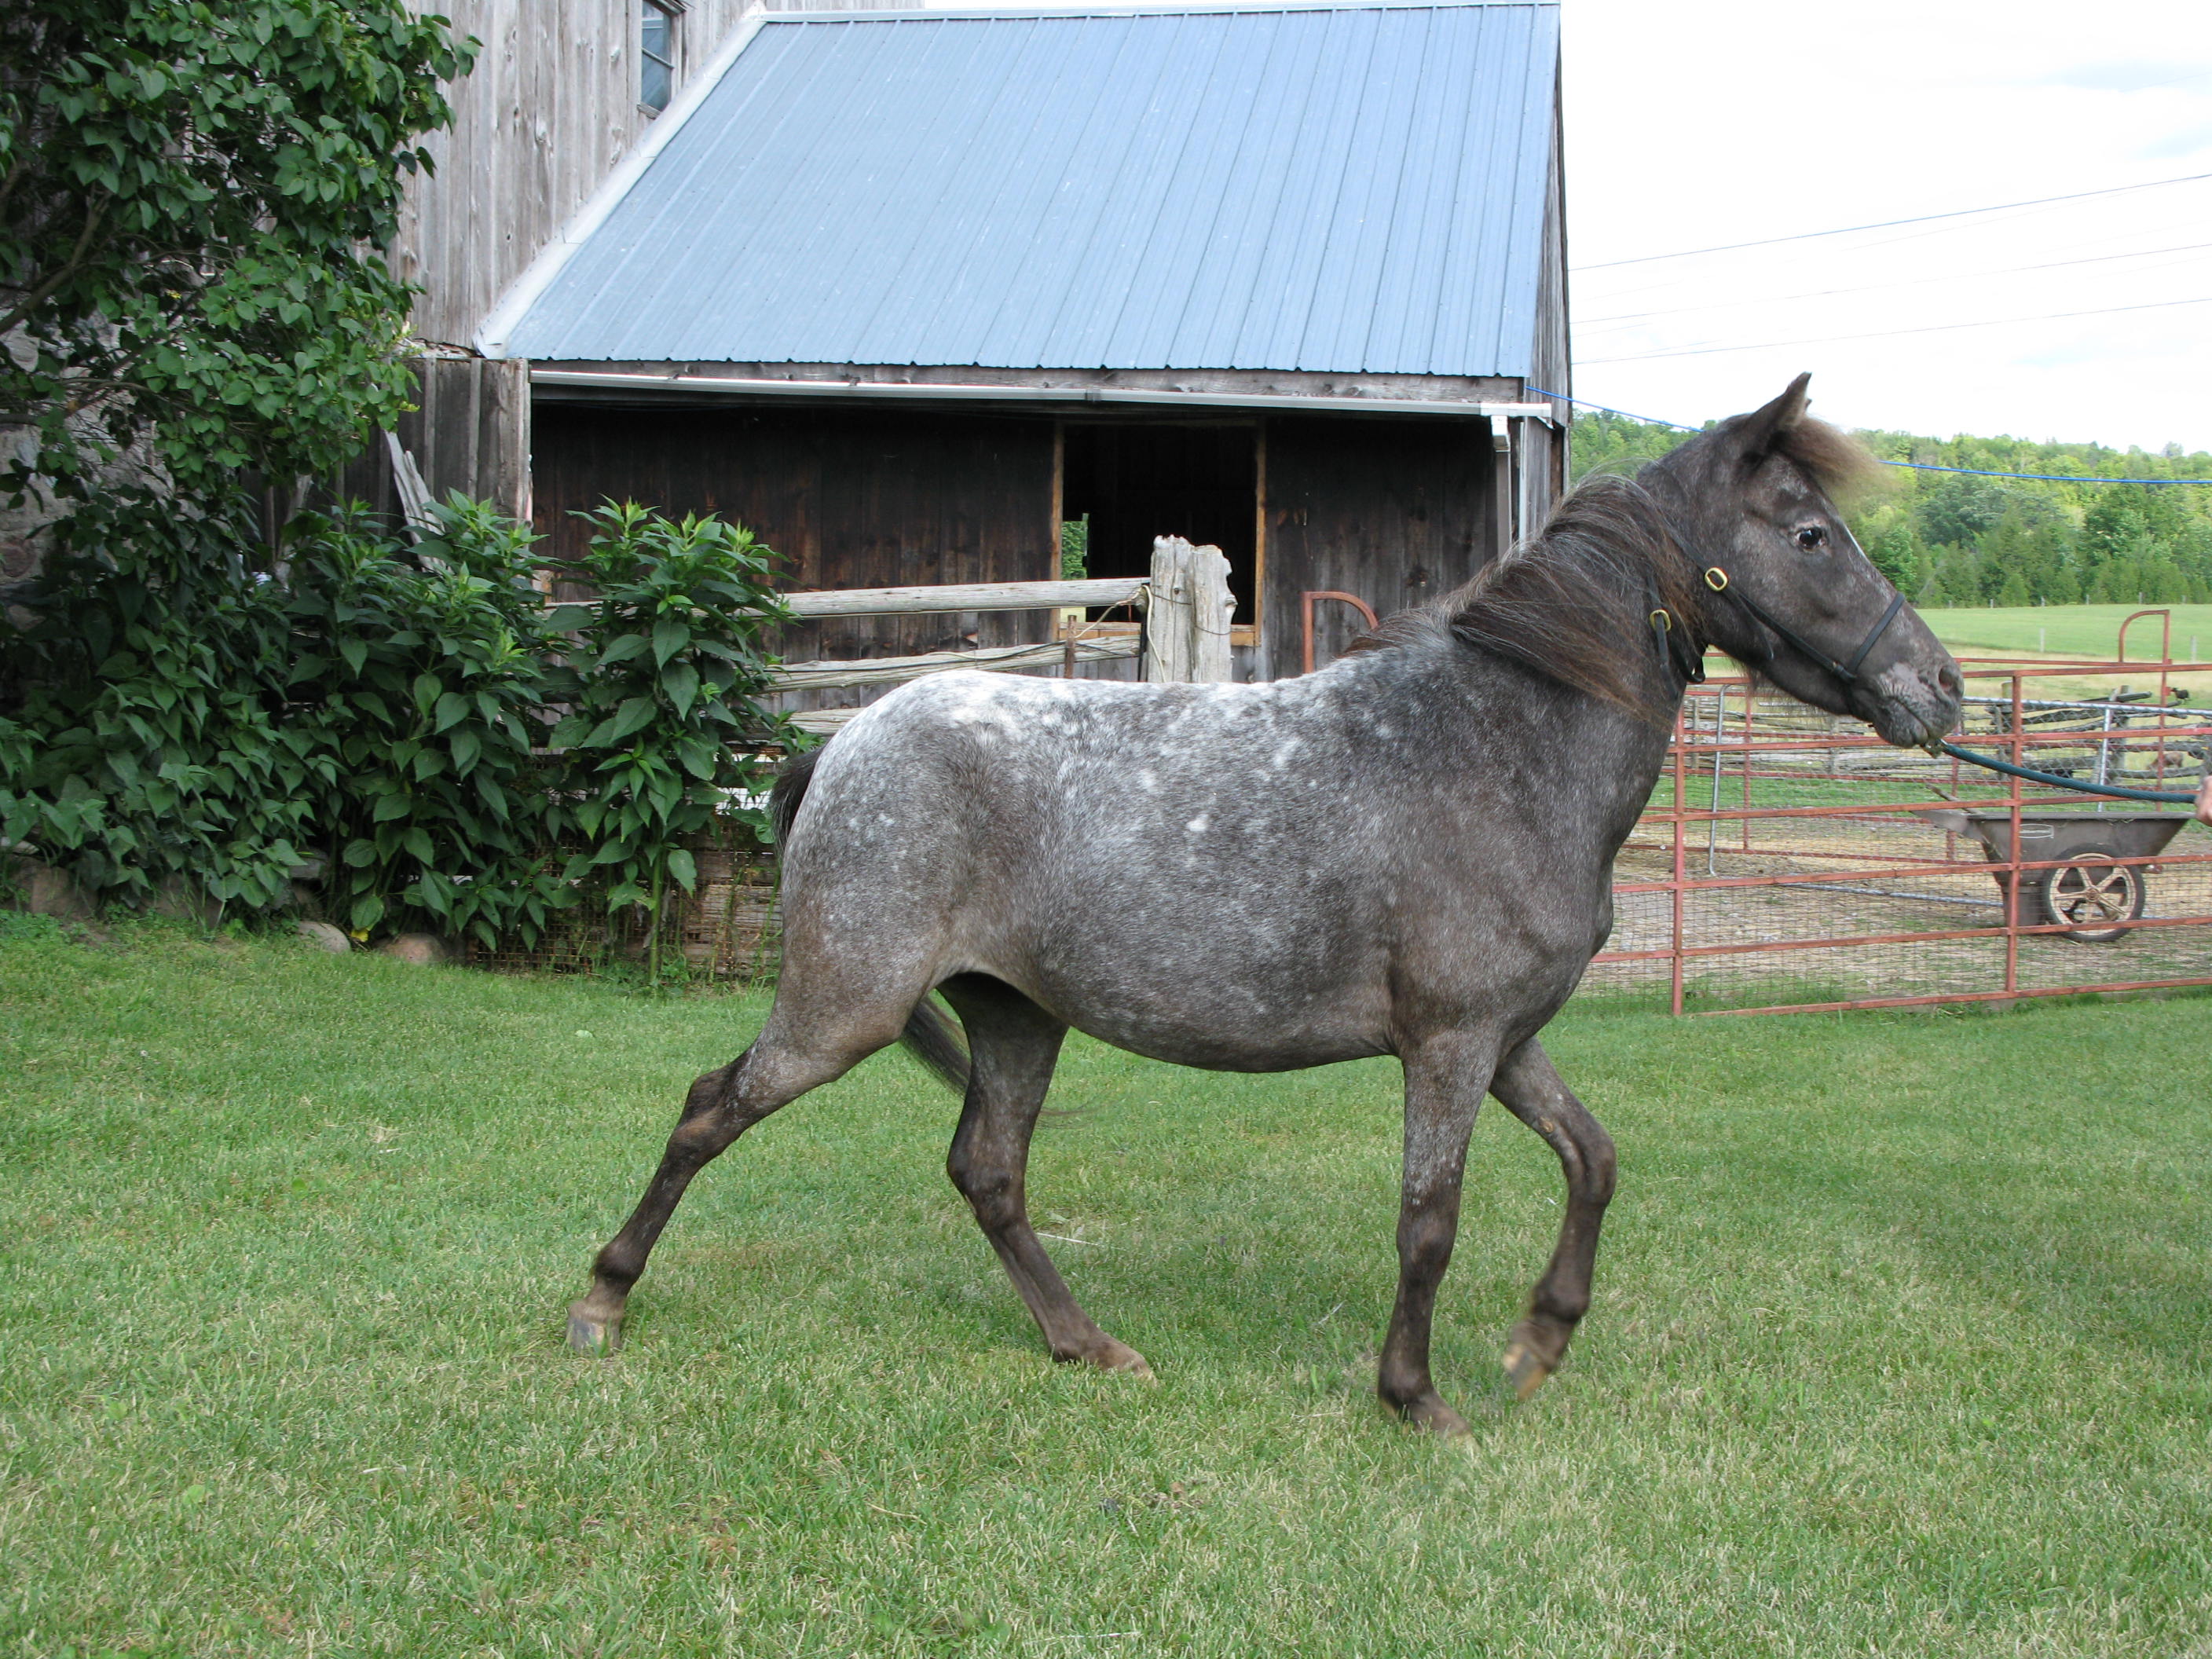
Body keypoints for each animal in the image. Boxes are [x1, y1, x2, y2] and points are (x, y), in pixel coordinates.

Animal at [566, 373, 1955, 1433]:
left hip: (1014, 1014)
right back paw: (601, 1303)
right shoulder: (1451, 1046)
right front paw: (1417, 1400)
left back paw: (1089, 1346)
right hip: (843, 1008)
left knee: (988, 1173)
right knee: (709, 1109)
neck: (1497, 743)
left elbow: (1595, 1159)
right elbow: (1430, 1221)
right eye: (1812, 534)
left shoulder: (1507, 1042)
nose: (1937, 685)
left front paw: (1539, 1342)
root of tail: (846, 743)